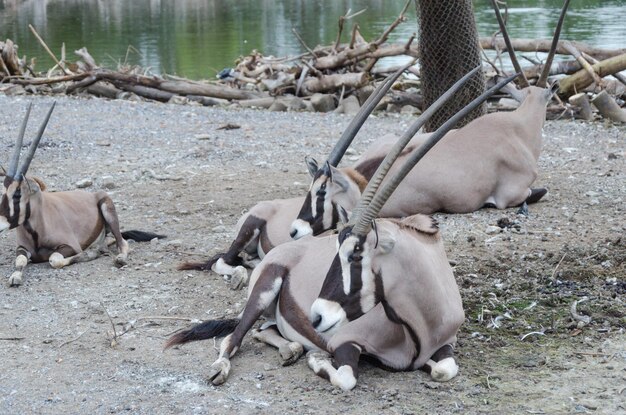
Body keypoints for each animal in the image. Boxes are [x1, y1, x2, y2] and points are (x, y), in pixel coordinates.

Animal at [0, 103, 165, 290]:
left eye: (17, 194)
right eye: (3, 191)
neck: (37, 228)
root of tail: (94, 194)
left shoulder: (70, 246)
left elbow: (54, 259)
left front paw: (90, 254)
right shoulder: (22, 248)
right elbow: (20, 261)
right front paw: (15, 277)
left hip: (107, 209)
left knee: (123, 243)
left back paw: (116, 258)